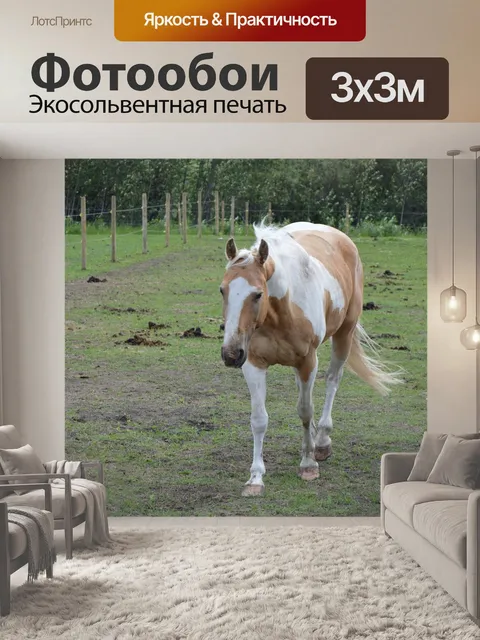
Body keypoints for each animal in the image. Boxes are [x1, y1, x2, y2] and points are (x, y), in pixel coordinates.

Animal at [220, 221, 402, 496]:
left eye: (258, 294)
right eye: (223, 290)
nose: (230, 354)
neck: (280, 313)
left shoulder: (307, 361)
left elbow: (305, 410)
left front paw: (308, 464)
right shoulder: (253, 364)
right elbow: (259, 419)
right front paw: (255, 477)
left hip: (344, 335)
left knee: (332, 381)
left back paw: (322, 441)